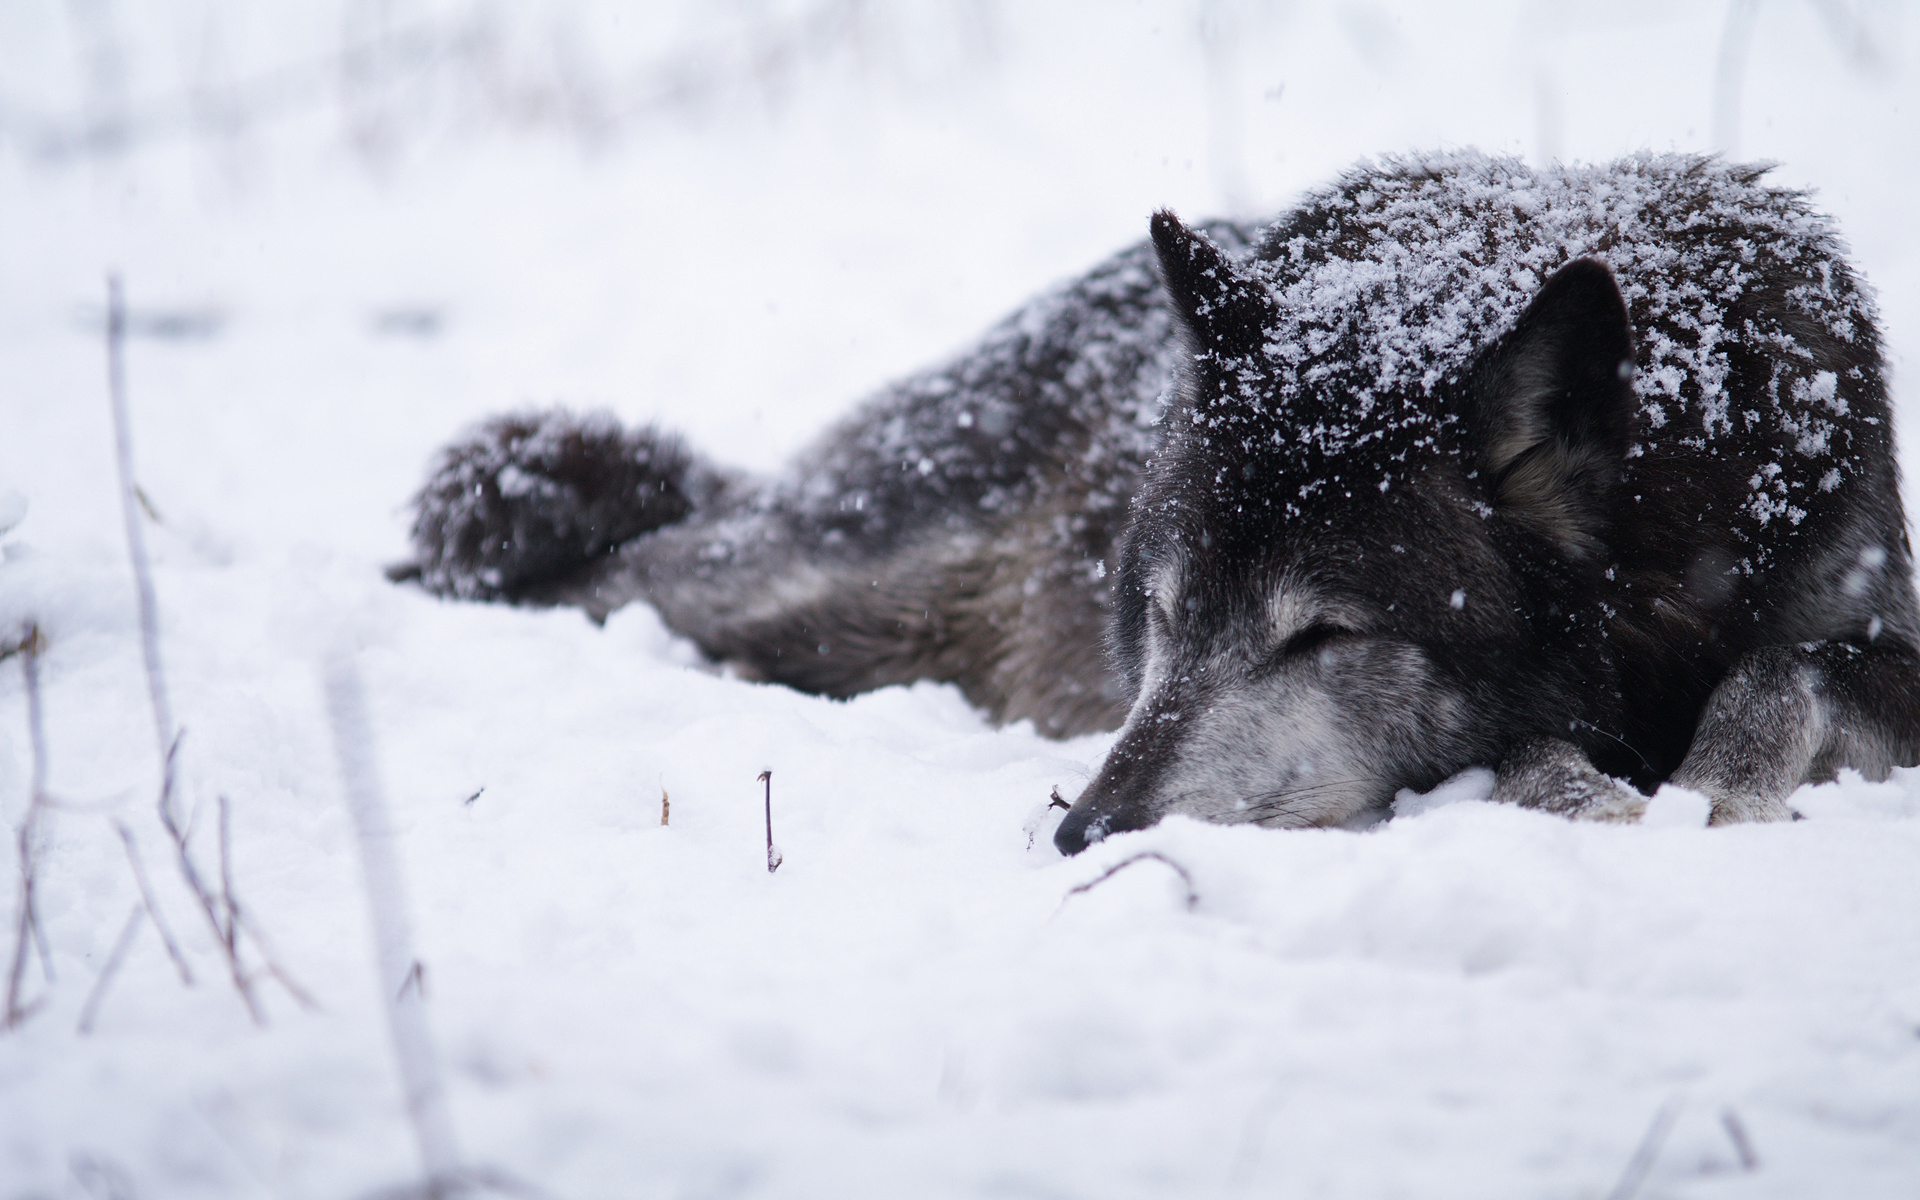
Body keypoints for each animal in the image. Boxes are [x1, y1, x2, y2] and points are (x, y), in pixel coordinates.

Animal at [393, 154, 1920, 852]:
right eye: (1168, 617)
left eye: (1323, 636)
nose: (1081, 834)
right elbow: (1541, 748)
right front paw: (1606, 795)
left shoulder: (1862, 617)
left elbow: (1790, 663)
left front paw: (1713, 782)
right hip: (811, 583)